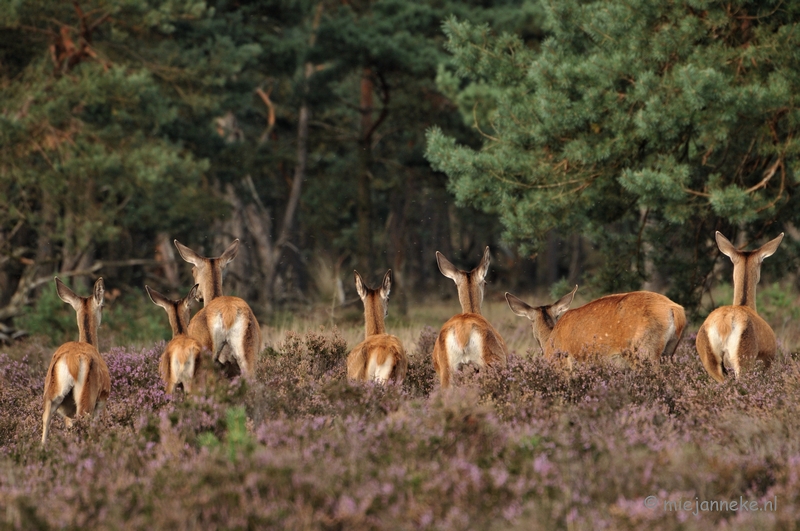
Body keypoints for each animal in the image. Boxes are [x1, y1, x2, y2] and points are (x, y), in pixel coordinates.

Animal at [41, 276, 111, 446]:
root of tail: (71, 360)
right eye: (102, 306)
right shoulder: (102, 400)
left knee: (45, 422)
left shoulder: (68, 413)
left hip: (51, 395)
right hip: (86, 398)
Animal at [506, 284, 688, 368]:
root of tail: (675, 310)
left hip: (643, 351)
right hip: (669, 350)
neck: (549, 339)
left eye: (531, 322)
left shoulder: (563, 365)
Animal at [696, 232, 784, 382]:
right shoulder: (768, 360)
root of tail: (723, 324)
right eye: (761, 262)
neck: (747, 305)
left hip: (710, 360)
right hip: (744, 358)